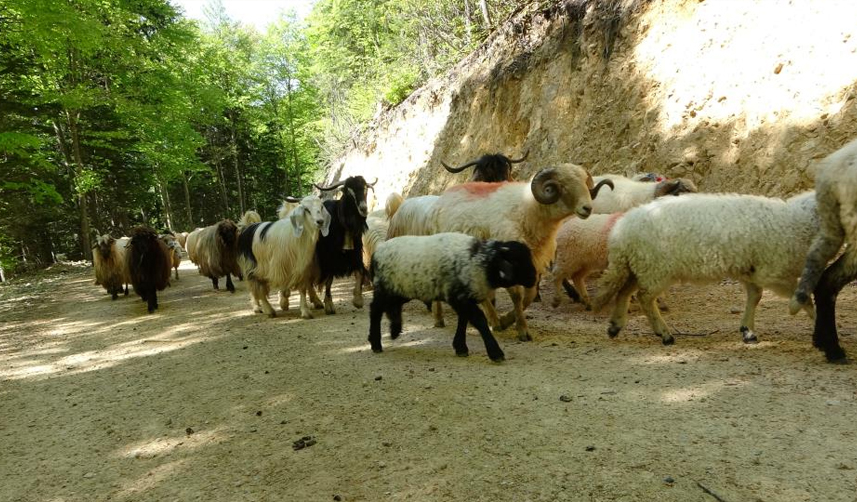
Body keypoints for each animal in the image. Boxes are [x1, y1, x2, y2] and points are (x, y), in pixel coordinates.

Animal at [310, 175, 372, 312]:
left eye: (365, 188)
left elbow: (360, 272)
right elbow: (329, 279)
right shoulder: (329, 257)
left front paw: (358, 300)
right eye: (349, 191)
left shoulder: (355, 253)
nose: (363, 209)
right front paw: (329, 305)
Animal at [366, 231, 536, 360]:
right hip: (384, 289)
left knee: (392, 307)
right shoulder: (459, 297)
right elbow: (479, 320)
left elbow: (464, 320)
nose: (533, 278)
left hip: (400, 289)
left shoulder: (464, 298)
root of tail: (375, 254)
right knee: (375, 310)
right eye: (516, 261)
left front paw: (460, 347)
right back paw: (376, 343)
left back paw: (394, 330)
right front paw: (495, 353)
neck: (480, 261)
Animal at [432, 165, 612, 342]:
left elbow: (529, 296)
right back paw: (440, 318)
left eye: (585, 184)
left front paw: (506, 321)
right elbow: (517, 295)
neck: (527, 209)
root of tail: (446, 194)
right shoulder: (509, 261)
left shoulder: (534, 261)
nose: (587, 208)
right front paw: (522, 330)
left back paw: (494, 321)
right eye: (563, 185)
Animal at [592, 192, 820, 346]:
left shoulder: (751, 270)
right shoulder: (773, 272)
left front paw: (747, 331)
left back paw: (615, 326)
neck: (794, 223)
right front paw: (819, 322)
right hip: (656, 268)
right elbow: (804, 298)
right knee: (644, 297)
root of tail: (621, 232)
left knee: (624, 292)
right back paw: (664, 334)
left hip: (639, 266)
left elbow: (755, 296)